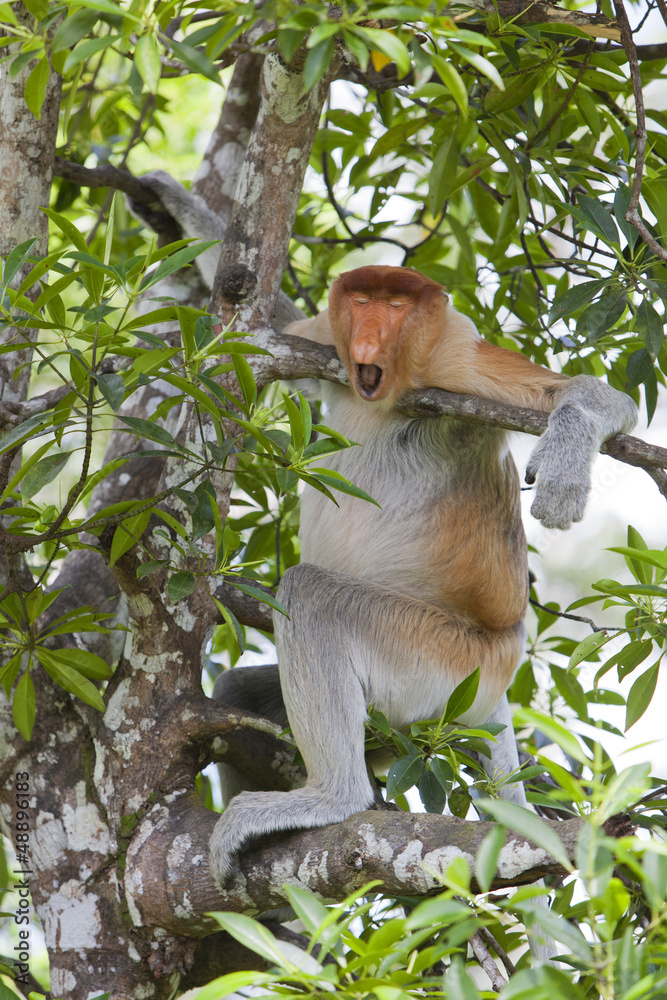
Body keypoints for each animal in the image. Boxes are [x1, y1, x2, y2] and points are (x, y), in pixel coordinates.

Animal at [208, 264, 638, 887]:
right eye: (362, 300)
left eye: (395, 307)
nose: (366, 340)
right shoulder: (328, 340)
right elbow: (289, 329)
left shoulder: (455, 360)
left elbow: (584, 394)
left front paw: (564, 466)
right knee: (235, 691)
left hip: (444, 659)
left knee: (312, 595)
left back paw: (333, 799)